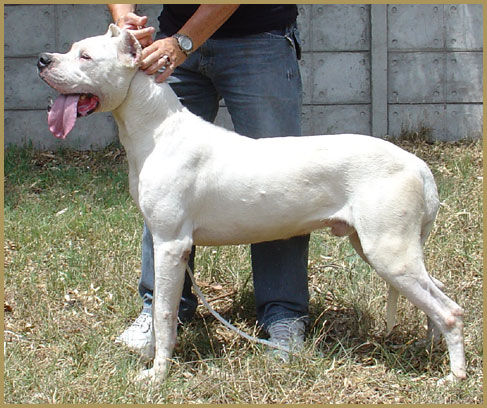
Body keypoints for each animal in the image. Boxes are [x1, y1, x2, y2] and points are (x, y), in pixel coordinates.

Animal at [37, 25, 466, 382]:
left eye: (86, 57)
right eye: (70, 49)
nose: (43, 59)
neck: (157, 129)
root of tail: (418, 165)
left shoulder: (171, 244)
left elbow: (164, 311)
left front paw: (157, 376)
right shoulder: (167, 241)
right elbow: (161, 307)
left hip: (388, 252)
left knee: (450, 311)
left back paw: (453, 378)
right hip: (381, 246)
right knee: (439, 293)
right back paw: (428, 349)